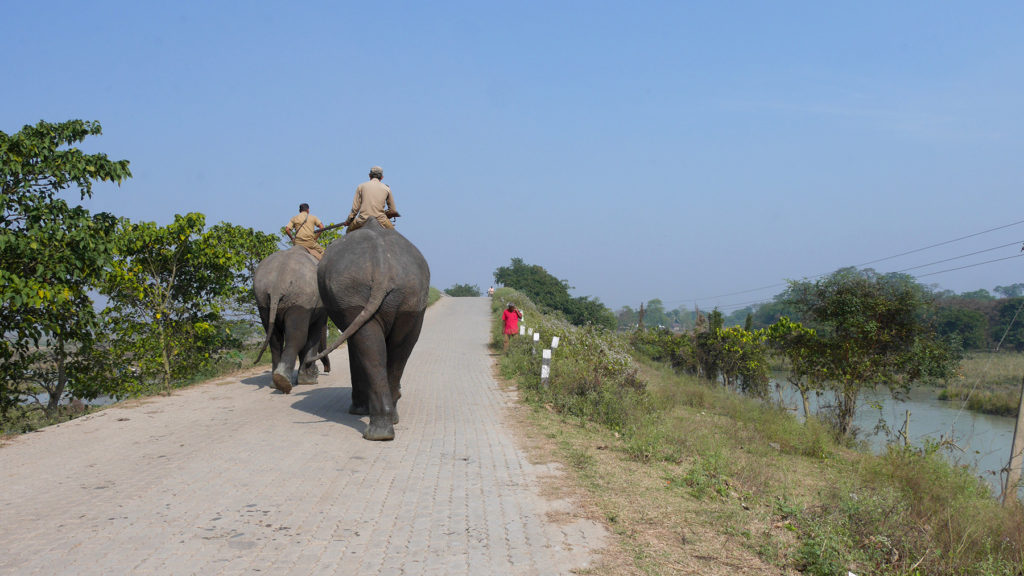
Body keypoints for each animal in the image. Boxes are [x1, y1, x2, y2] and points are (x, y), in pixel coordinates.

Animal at [252, 243, 329, 391]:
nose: (325, 370)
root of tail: (276, 286)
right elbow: (313, 335)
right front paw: (309, 380)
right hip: (301, 301)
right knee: (296, 337)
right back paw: (284, 381)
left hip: (262, 302)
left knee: (275, 341)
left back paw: (276, 383)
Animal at [307, 216, 428, 438]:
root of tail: (382, 267)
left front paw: (358, 410)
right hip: (406, 296)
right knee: (396, 345)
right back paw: (386, 426)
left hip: (358, 293)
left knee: (369, 343)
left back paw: (377, 429)